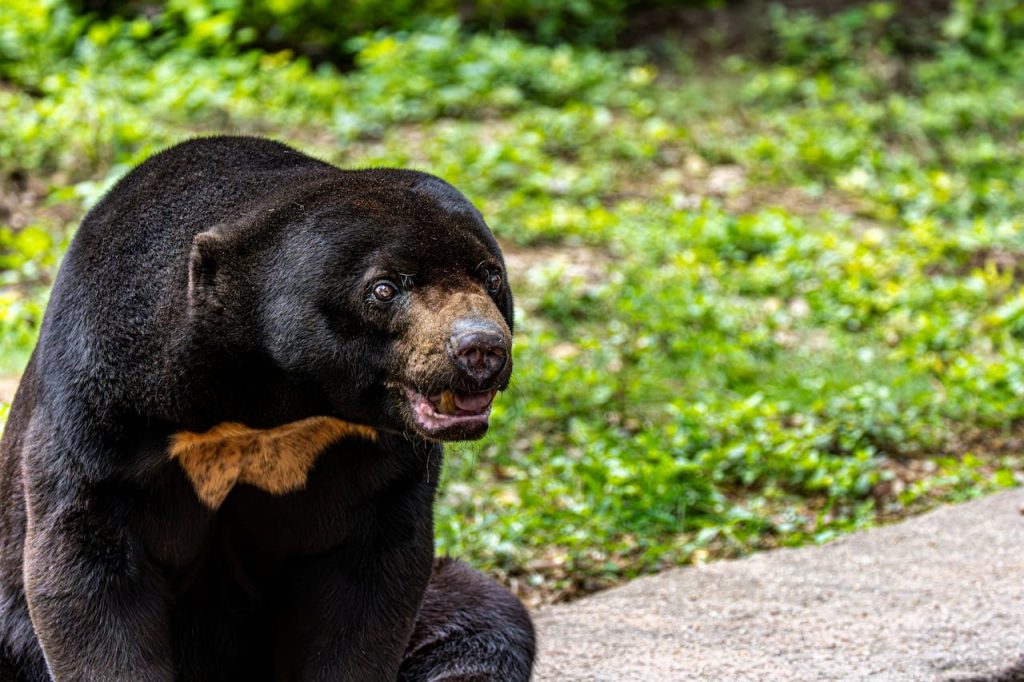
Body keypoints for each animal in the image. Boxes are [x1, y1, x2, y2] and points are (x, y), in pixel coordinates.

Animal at [0, 136, 535, 680]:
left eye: (490, 276)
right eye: (384, 289)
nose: (480, 349)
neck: (270, 398)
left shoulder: (376, 453)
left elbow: (370, 580)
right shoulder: (103, 410)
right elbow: (89, 566)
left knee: (488, 614)